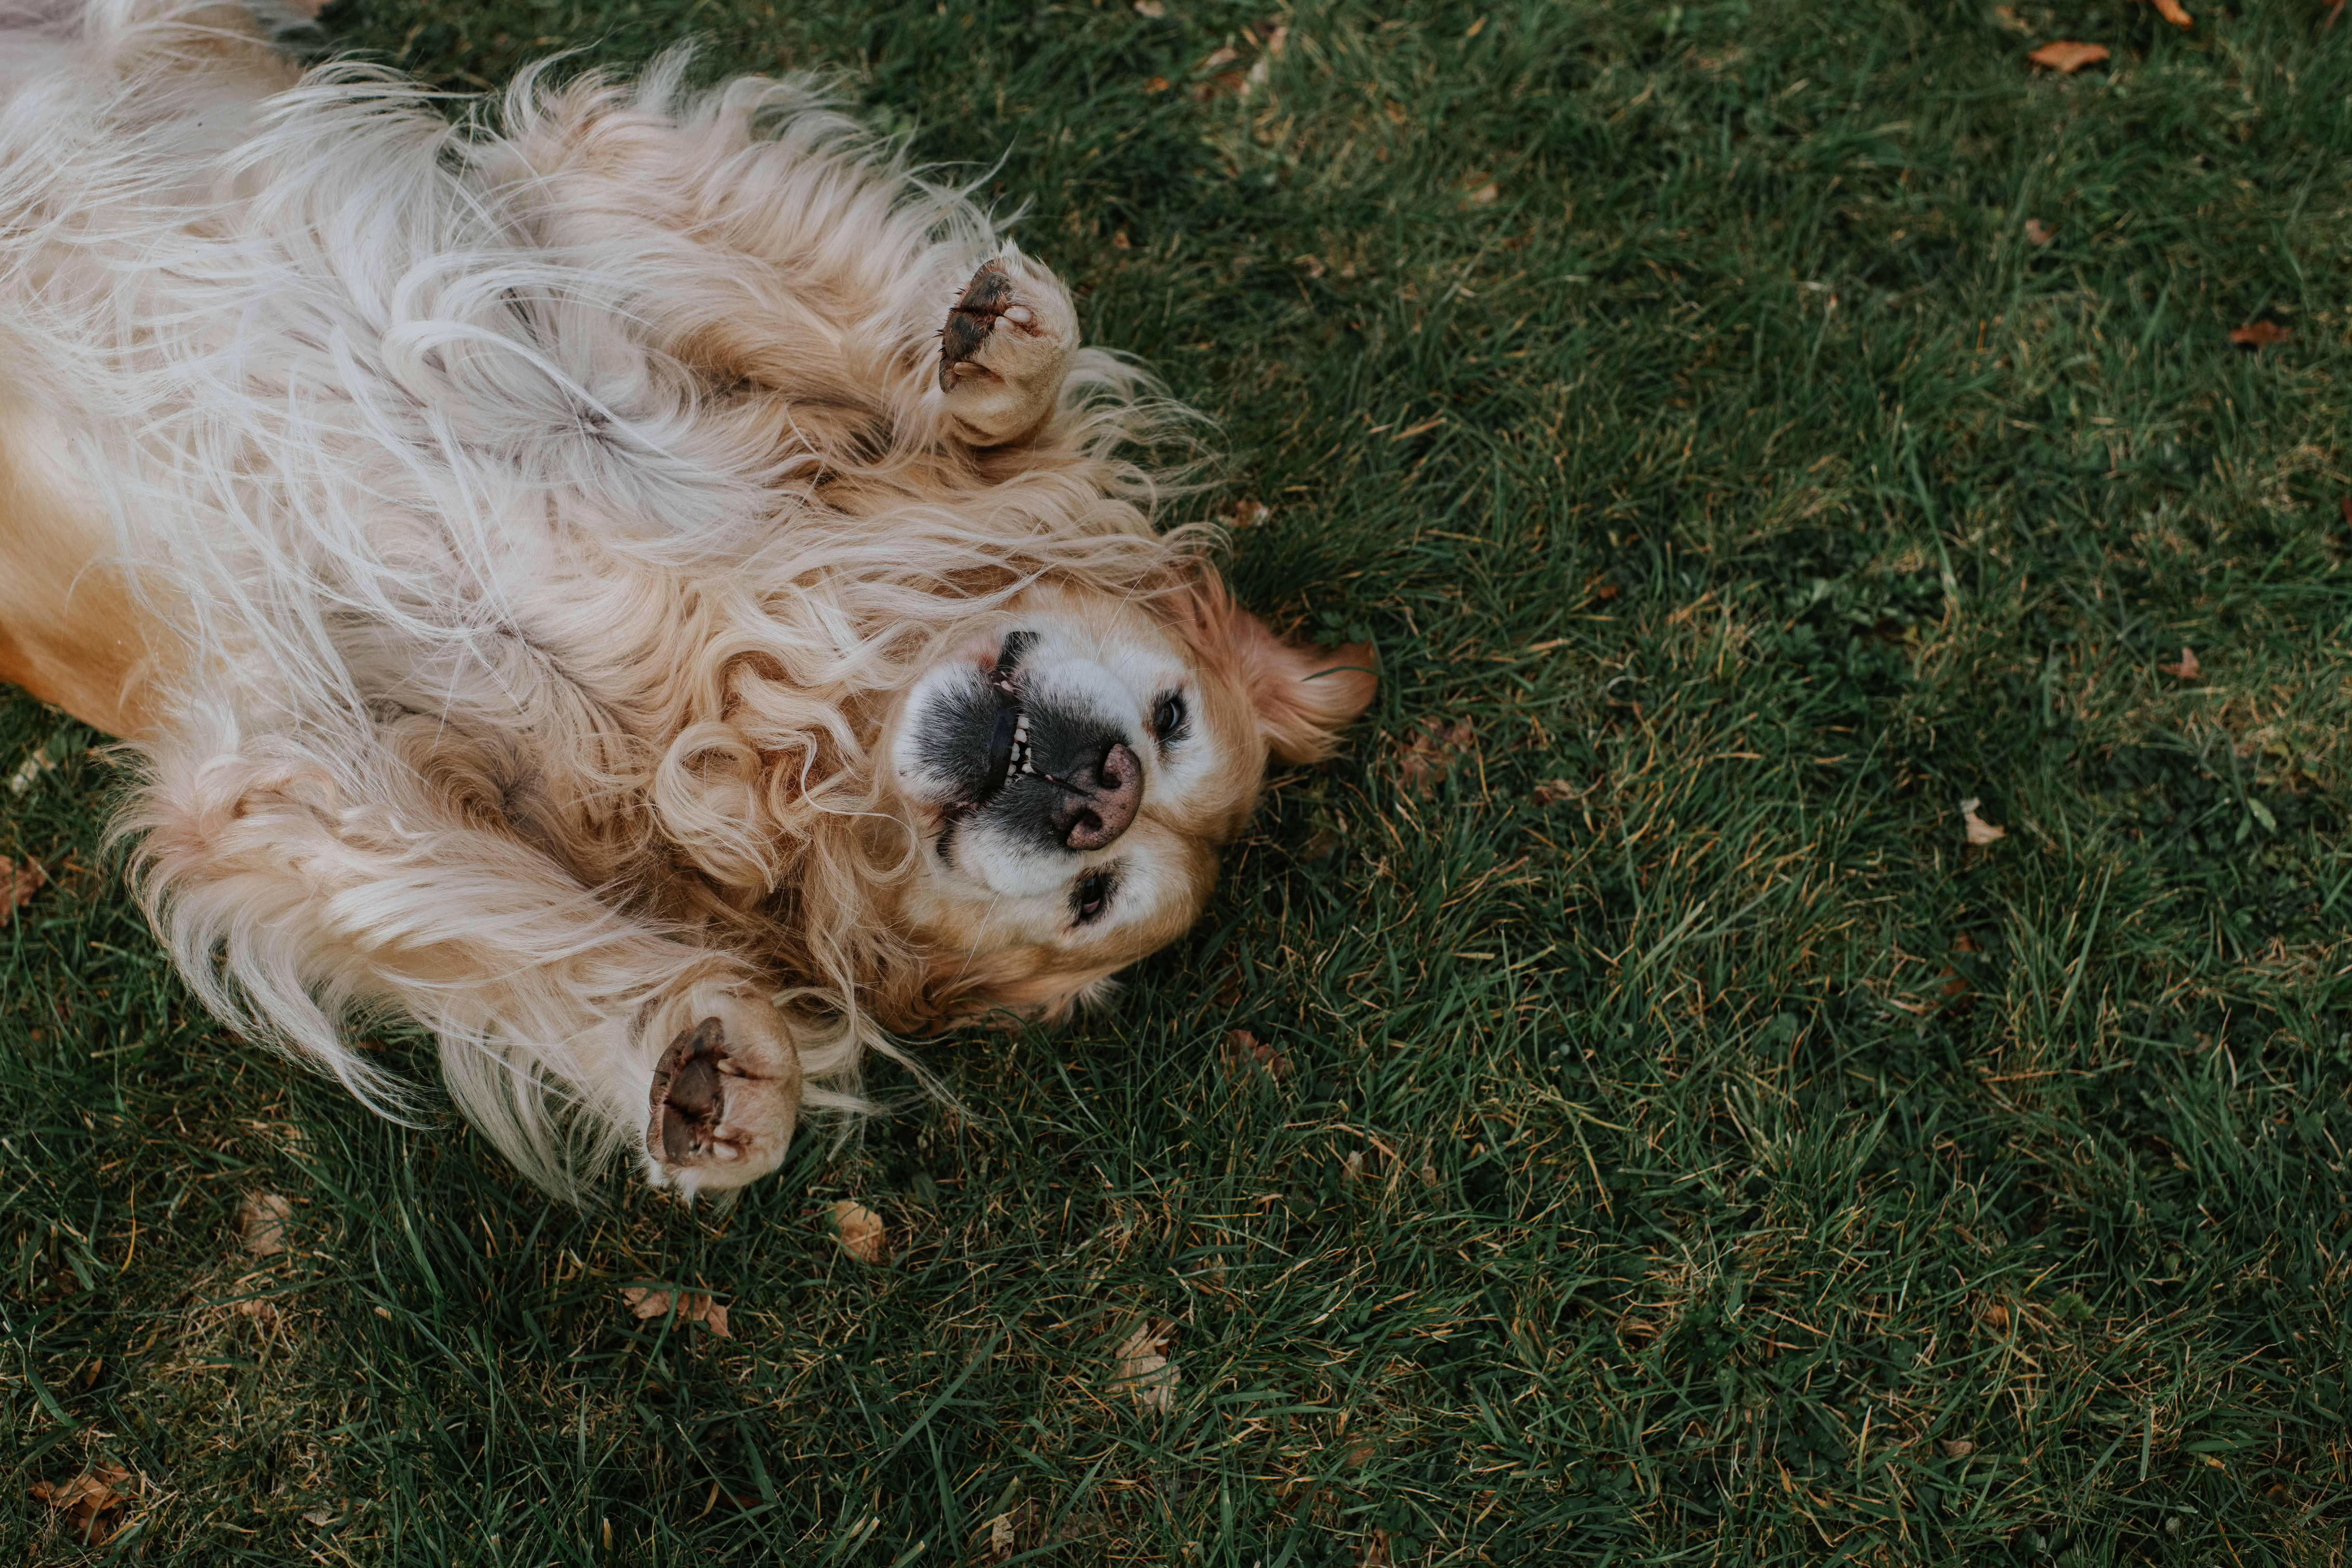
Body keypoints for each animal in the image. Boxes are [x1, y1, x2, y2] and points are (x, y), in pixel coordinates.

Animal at [0, 0, 1373, 1194]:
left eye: (1099, 901)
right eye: (1174, 717)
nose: (1099, 788)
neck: (738, 640)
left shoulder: (283, 776)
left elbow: (486, 918)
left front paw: (693, 1046)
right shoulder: (583, 193)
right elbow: (915, 373)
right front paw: (985, 353)